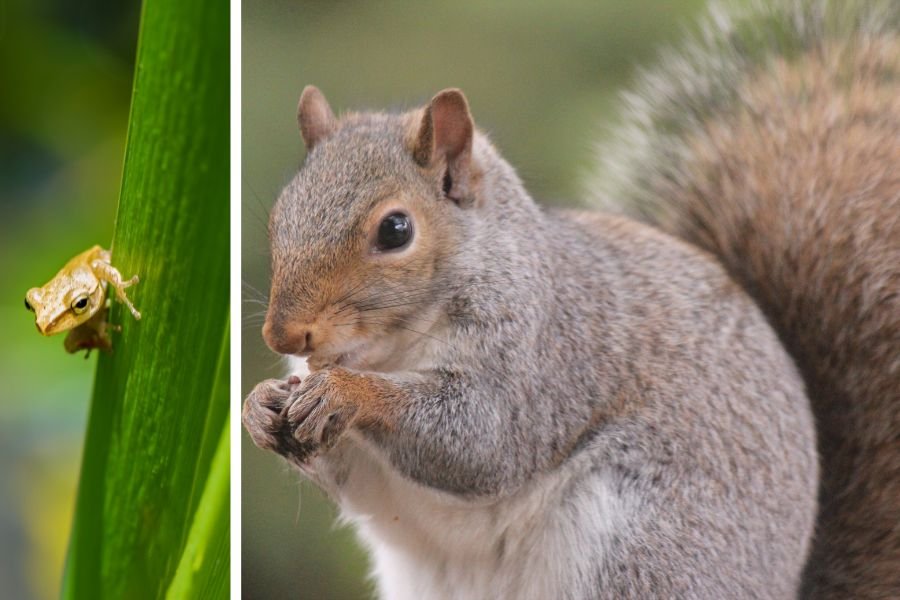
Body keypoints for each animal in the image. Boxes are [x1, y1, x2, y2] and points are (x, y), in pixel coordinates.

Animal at [243, 0, 898, 598]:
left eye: (396, 230)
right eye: (279, 216)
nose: (283, 334)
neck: (391, 348)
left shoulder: (544, 358)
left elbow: (481, 440)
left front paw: (347, 393)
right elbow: (355, 478)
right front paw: (259, 405)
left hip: (643, 548)